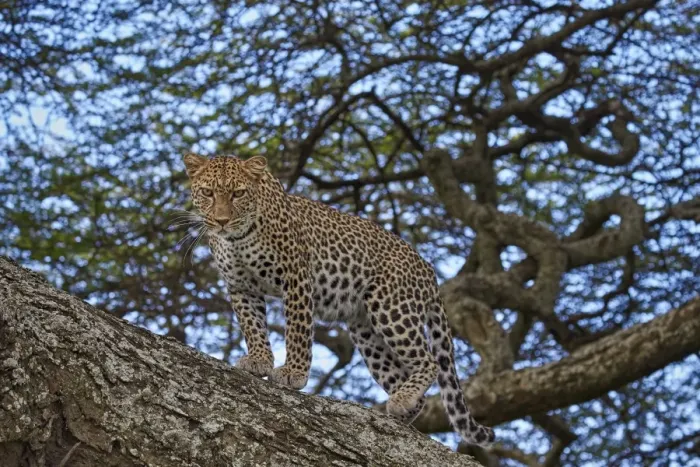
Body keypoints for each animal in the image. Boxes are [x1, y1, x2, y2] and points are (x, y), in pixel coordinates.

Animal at [182, 153, 495, 446]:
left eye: (238, 193)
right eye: (208, 193)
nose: (222, 221)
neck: (236, 238)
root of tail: (429, 270)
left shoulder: (296, 276)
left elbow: (297, 330)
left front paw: (294, 373)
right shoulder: (240, 287)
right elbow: (252, 326)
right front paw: (259, 360)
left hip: (391, 307)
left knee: (430, 361)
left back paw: (401, 400)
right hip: (366, 332)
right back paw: (397, 411)